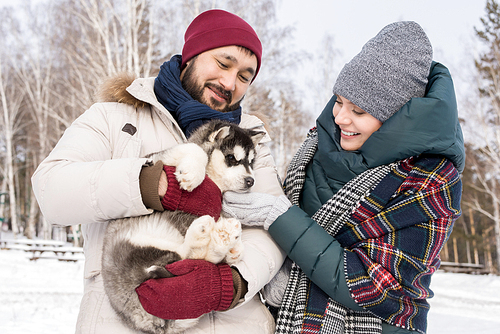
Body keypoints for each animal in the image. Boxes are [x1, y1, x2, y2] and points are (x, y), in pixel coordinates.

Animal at [101, 120, 266, 334]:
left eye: (251, 162)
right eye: (231, 158)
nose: (250, 181)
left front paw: (235, 248)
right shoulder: (159, 159)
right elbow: (195, 150)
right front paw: (193, 174)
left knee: (195, 260)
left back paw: (222, 239)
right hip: (133, 245)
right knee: (183, 253)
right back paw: (206, 234)